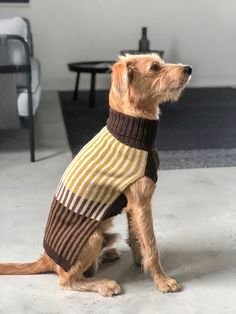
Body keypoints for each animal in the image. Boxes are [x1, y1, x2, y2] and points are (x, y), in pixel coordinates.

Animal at [0, 54, 192, 296]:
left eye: (161, 61)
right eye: (154, 67)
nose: (188, 69)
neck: (131, 128)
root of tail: (46, 259)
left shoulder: (132, 204)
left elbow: (136, 236)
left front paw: (140, 262)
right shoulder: (141, 202)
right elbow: (151, 244)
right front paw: (162, 280)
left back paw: (107, 255)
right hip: (92, 237)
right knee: (67, 280)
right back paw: (103, 284)